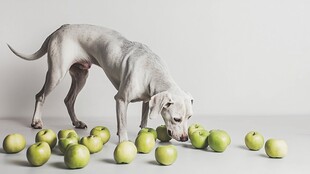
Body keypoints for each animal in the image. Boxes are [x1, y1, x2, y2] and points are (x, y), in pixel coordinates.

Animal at [7, 23, 194, 142]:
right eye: (177, 119)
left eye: (189, 117)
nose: (185, 138)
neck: (151, 68)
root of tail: (59, 29)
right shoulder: (121, 99)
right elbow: (123, 124)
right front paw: (124, 141)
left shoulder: (148, 100)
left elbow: (143, 121)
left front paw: (143, 132)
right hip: (56, 74)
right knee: (40, 96)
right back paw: (36, 122)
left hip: (81, 76)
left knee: (69, 100)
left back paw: (76, 122)